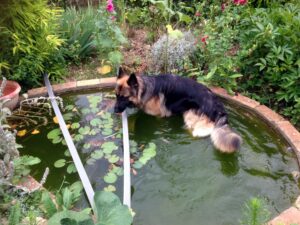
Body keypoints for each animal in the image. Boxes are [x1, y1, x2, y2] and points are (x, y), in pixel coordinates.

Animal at [113, 68, 243, 153]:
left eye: (124, 97)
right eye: (116, 95)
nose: (114, 110)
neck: (145, 89)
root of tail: (218, 108)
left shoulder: (157, 116)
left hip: (190, 116)